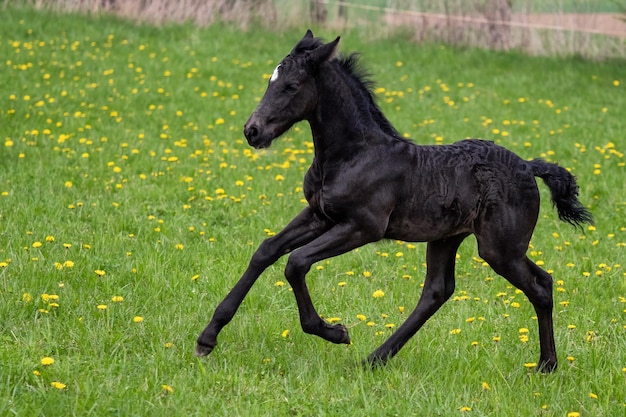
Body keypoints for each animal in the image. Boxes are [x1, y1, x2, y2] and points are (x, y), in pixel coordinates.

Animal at [196, 30, 588, 372]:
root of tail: (528, 166)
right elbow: (266, 250)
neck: (353, 154)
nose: (253, 131)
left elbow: (296, 262)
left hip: (499, 248)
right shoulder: (320, 215)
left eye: (292, 85)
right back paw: (375, 359)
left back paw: (547, 366)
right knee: (438, 291)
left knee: (540, 286)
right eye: (270, 80)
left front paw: (334, 331)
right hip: (447, 238)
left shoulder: (363, 226)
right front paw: (207, 338)